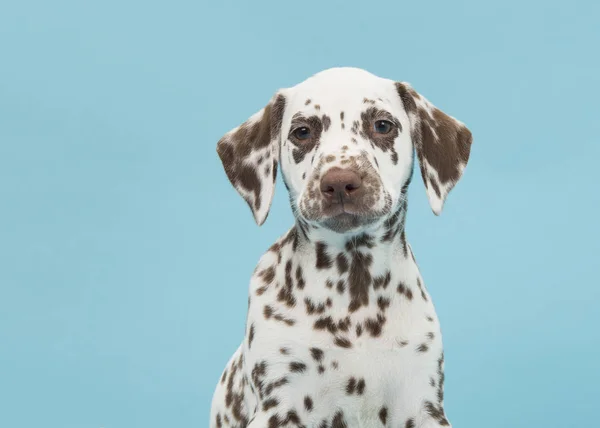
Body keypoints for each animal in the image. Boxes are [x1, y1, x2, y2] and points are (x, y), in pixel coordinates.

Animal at [211, 67, 474, 428]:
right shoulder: (278, 406)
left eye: (382, 125)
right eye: (302, 132)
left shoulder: (423, 406)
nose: (339, 182)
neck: (353, 294)